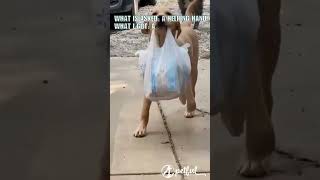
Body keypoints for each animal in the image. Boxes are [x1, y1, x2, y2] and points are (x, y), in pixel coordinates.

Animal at [132, 5, 198, 138]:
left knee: (192, 90)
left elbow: (189, 95)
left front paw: (189, 105)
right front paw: (141, 128)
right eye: (154, 13)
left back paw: (190, 109)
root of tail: (186, 26)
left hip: (194, 69)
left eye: (168, 13)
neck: (162, 47)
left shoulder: (185, 74)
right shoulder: (148, 83)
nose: (160, 17)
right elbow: (144, 110)